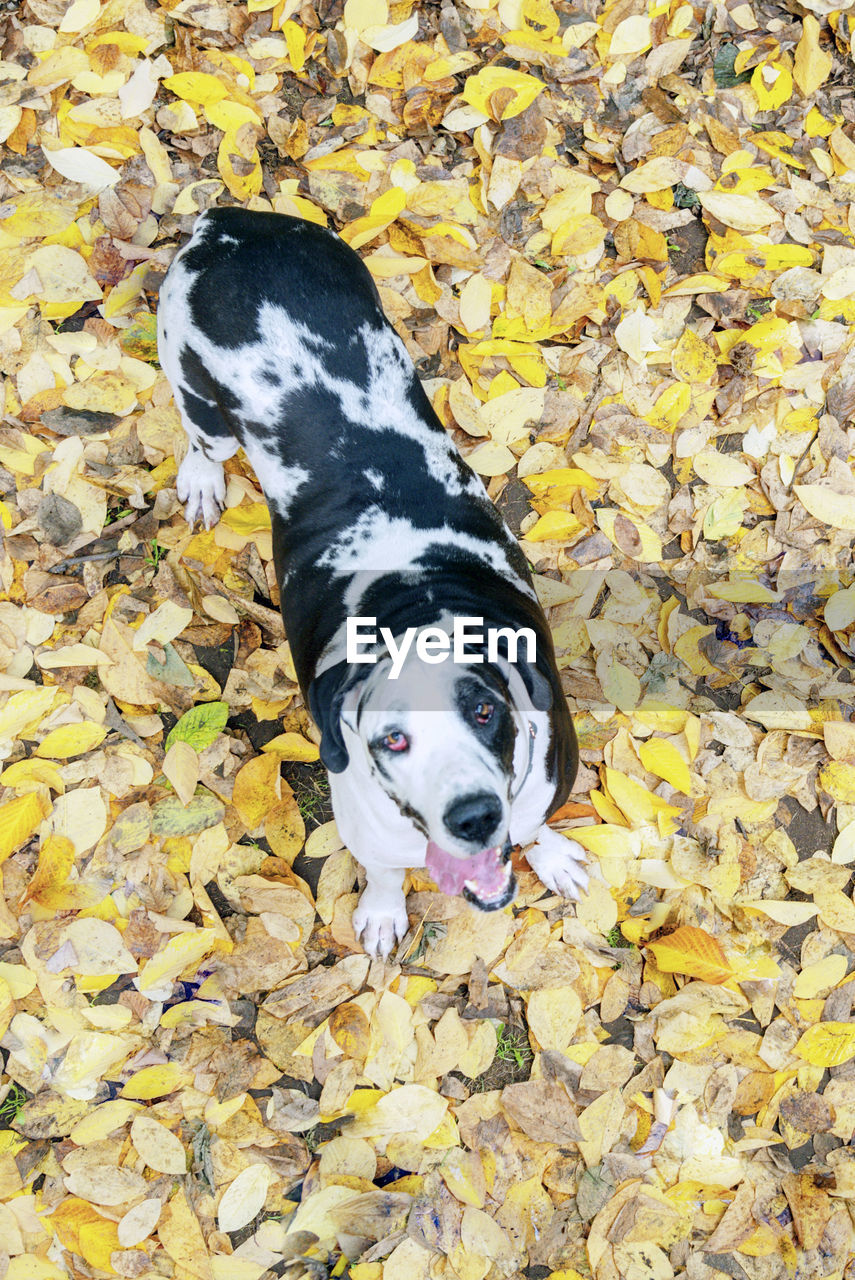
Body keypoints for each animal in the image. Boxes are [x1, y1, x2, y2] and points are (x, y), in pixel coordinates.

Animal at [156, 207, 588, 962]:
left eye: (484, 710)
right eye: (392, 740)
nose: (474, 816)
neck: (418, 604)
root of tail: (230, 222)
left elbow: (534, 826)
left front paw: (551, 855)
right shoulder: (369, 830)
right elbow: (384, 874)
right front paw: (384, 913)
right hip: (195, 392)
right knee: (203, 442)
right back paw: (203, 478)